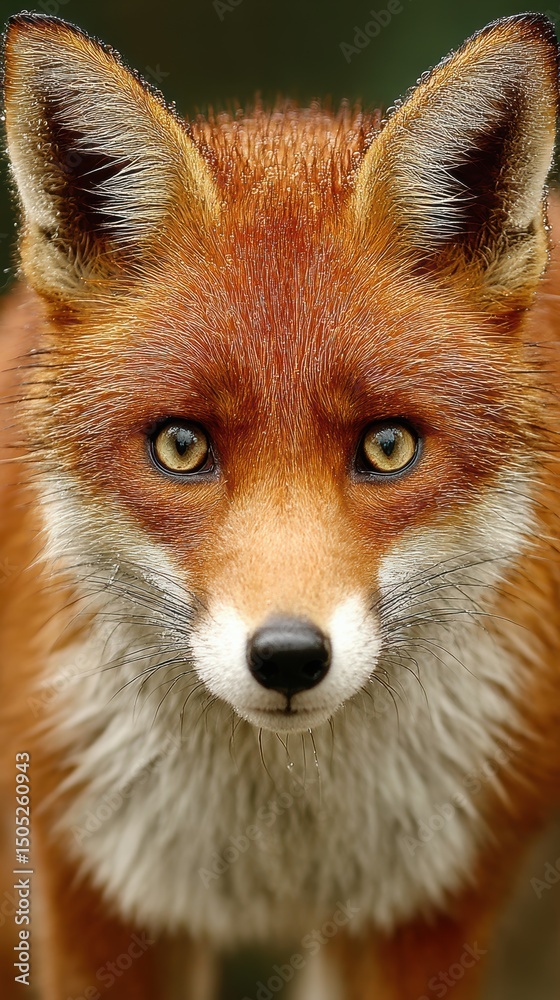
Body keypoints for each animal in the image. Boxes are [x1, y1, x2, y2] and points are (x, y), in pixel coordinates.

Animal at [1, 8, 560, 999]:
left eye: (388, 446)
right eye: (182, 446)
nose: (290, 657)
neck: (278, 842)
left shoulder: (419, 913)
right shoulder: (91, 894)